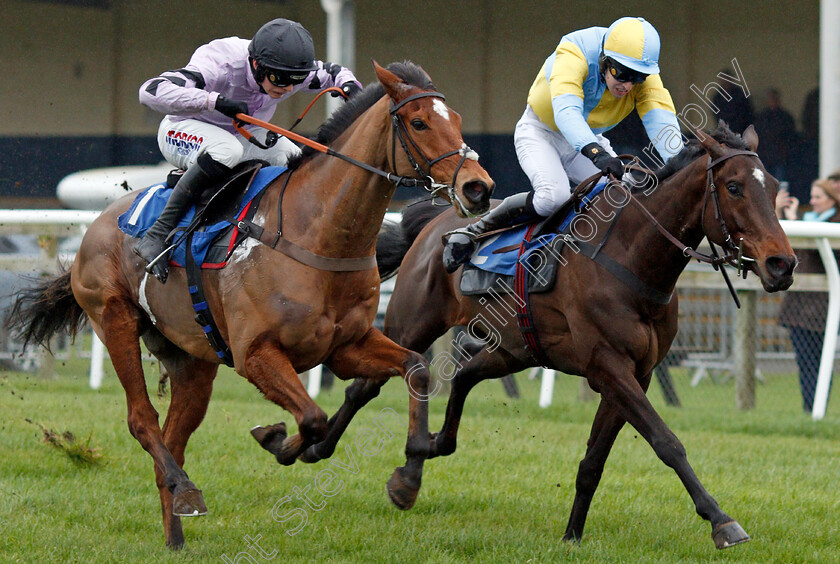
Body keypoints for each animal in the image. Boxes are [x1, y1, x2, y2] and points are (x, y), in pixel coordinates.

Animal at [8, 62, 492, 552]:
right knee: (142, 420)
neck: (317, 234)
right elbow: (313, 419)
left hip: (192, 359)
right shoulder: (256, 354)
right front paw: (277, 439)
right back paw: (186, 489)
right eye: (419, 122)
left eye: (456, 118)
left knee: (173, 438)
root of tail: (99, 224)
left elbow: (416, 368)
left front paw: (408, 476)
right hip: (115, 319)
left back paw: (177, 530)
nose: (478, 187)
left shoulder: (346, 346)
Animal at [372, 122, 796, 548]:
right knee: (383, 380)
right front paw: (722, 521)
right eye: (734, 187)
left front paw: (572, 535)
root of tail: (434, 224)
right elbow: (667, 443)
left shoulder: (635, 374)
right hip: (411, 326)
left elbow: (594, 462)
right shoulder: (608, 366)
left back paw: (432, 446)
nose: (782, 264)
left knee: (463, 376)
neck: (631, 258)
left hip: (515, 348)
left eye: (774, 186)